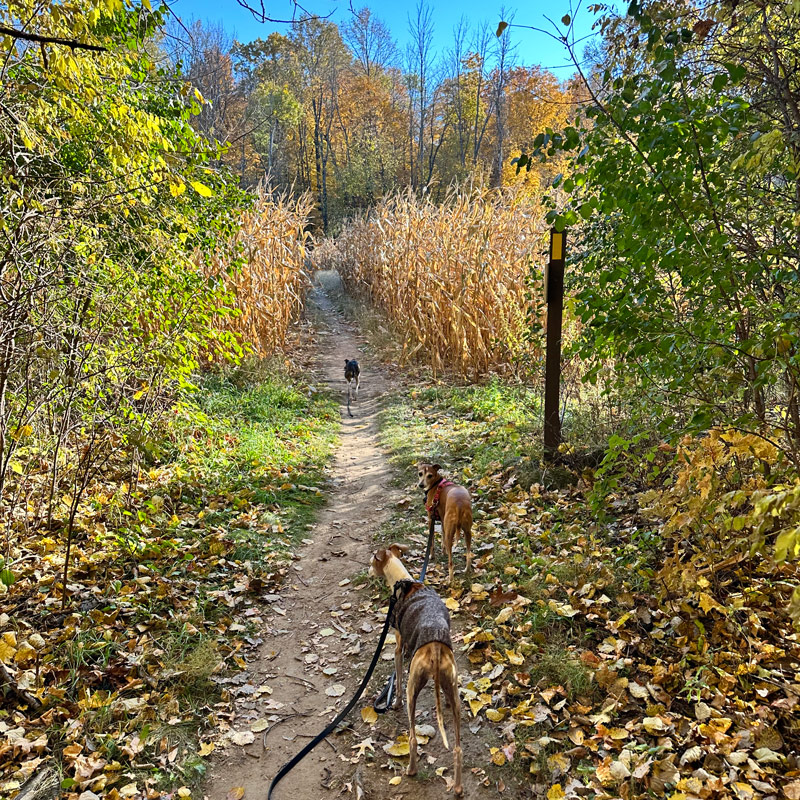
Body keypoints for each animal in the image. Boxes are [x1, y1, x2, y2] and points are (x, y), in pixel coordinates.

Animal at [368, 544, 462, 792]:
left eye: (372, 562)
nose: (368, 571)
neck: (405, 582)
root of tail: (436, 647)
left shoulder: (399, 648)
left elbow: (398, 680)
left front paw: (395, 703)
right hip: (453, 689)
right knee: (458, 748)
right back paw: (458, 788)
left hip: (414, 686)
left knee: (411, 737)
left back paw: (410, 770)